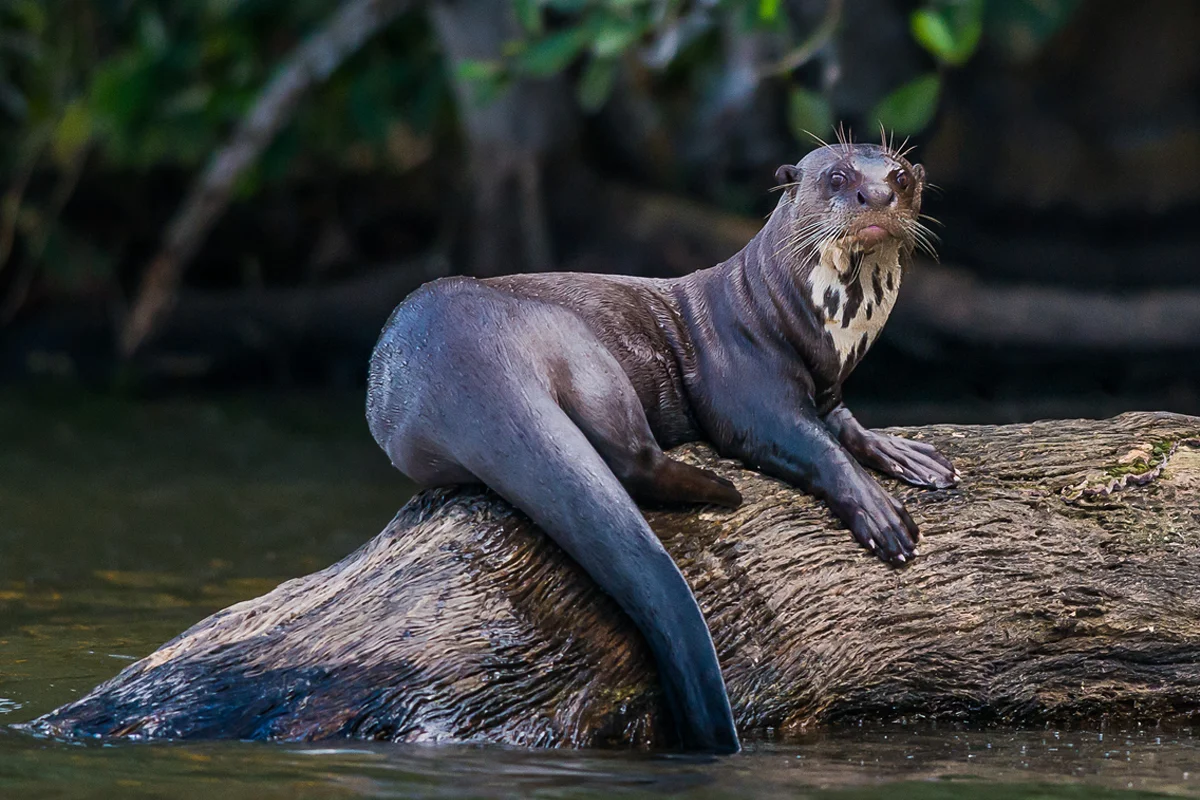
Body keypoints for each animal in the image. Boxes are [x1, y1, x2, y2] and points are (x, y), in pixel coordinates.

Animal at [366, 138, 956, 754]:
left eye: (900, 176)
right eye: (837, 177)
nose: (877, 195)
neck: (795, 318)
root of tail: (458, 357)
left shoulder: (829, 387)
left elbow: (846, 425)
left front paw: (908, 455)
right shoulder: (746, 386)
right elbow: (807, 443)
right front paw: (879, 512)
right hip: (576, 344)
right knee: (631, 458)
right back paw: (721, 490)